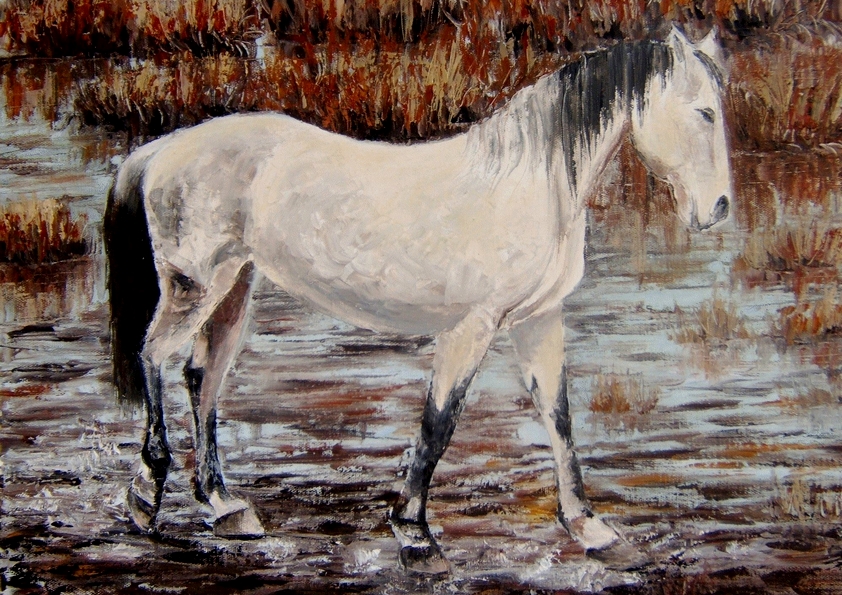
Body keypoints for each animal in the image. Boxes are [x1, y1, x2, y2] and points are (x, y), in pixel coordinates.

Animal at [104, 26, 732, 574]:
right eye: (704, 112)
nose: (720, 208)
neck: (530, 187)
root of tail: (160, 150)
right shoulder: (471, 327)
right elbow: (438, 424)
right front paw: (415, 536)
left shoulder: (537, 320)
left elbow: (558, 416)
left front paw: (591, 528)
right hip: (195, 286)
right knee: (155, 355)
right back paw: (145, 496)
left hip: (235, 286)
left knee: (202, 377)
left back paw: (225, 506)